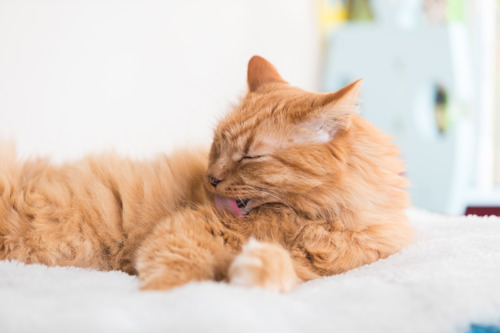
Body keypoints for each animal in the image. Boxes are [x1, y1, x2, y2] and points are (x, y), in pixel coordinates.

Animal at [0, 55, 412, 290]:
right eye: (217, 145)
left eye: (249, 157)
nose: (210, 178)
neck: (312, 222)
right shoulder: (185, 230)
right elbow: (173, 279)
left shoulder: (317, 272)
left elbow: (280, 272)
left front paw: (255, 270)